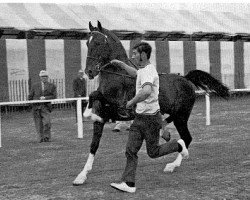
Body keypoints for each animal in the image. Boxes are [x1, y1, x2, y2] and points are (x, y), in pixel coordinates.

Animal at [72, 21, 229, 185]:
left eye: (98, 43)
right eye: (87, 43)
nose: (89, 72)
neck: (117, 76)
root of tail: (185, 79)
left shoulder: (120, 105)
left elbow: (94, 94)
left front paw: (87, 112)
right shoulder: (101, 119)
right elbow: (94, 145)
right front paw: (81, 176)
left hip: (181, 117)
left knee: (186, 138)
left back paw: (172, 165)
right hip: (176, 115)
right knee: (176, 131)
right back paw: (165, 135)